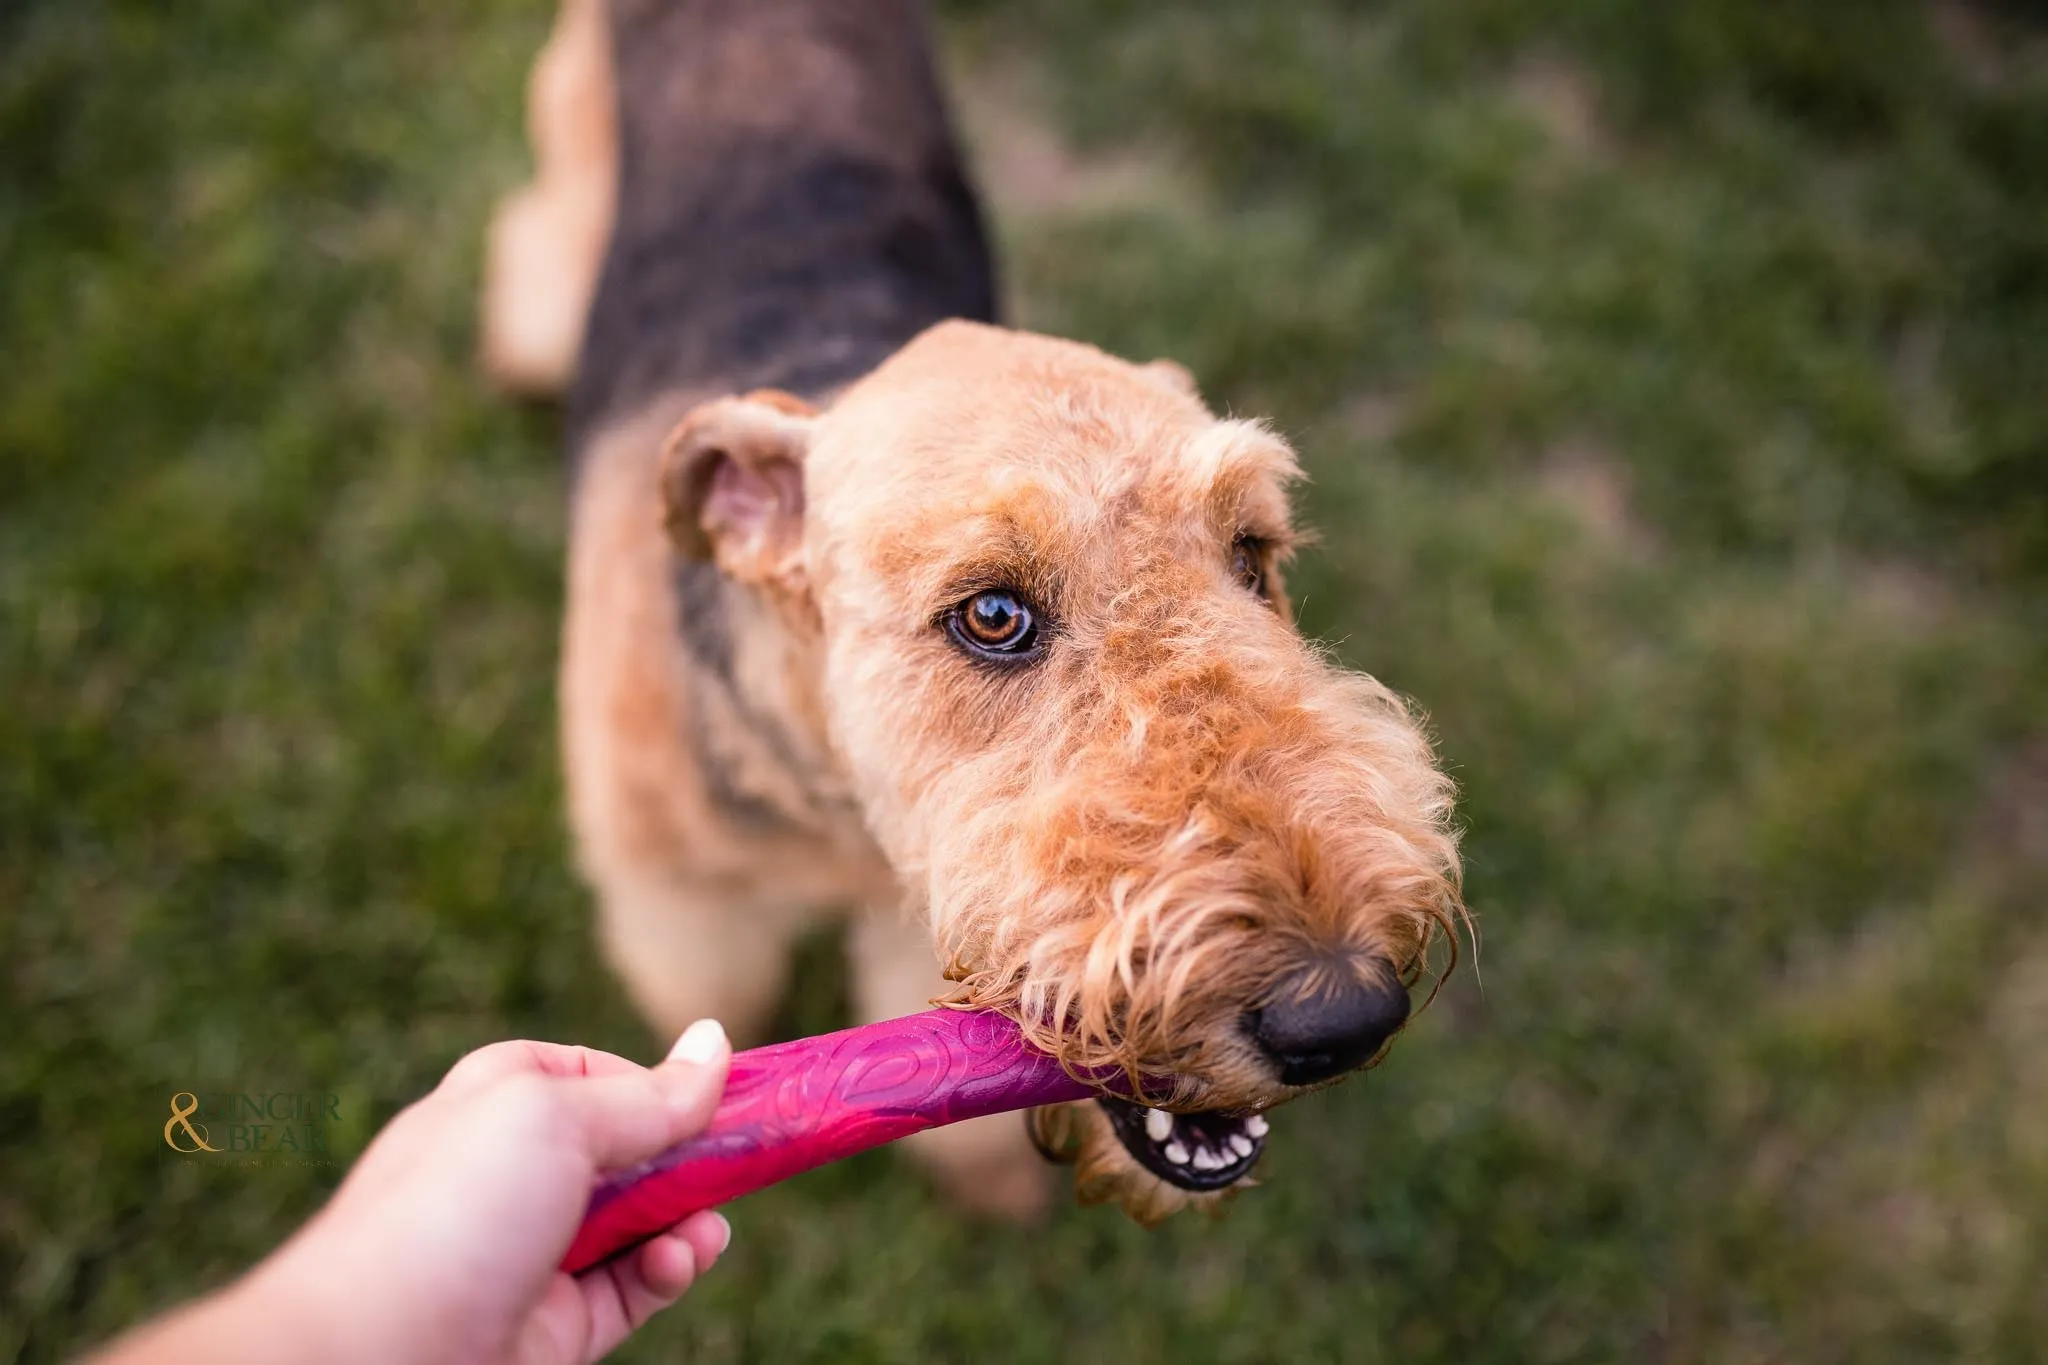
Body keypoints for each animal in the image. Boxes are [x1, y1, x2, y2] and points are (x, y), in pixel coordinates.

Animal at [487, 0, 1466, 1227]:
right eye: (992, 614)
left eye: (1251, 555)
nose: (1339, 1014)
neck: (838, 816)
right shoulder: (676, 893)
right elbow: (720, 999)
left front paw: (986, 1184)